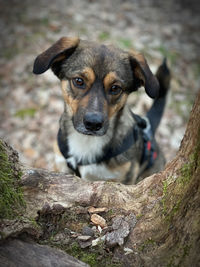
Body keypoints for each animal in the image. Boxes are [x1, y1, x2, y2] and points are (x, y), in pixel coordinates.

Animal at [32, 36, 170, 185]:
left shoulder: (125, 179)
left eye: (115, 88)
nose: (93, 124)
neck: (86, 140)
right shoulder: (61, 168)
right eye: (79, 81)